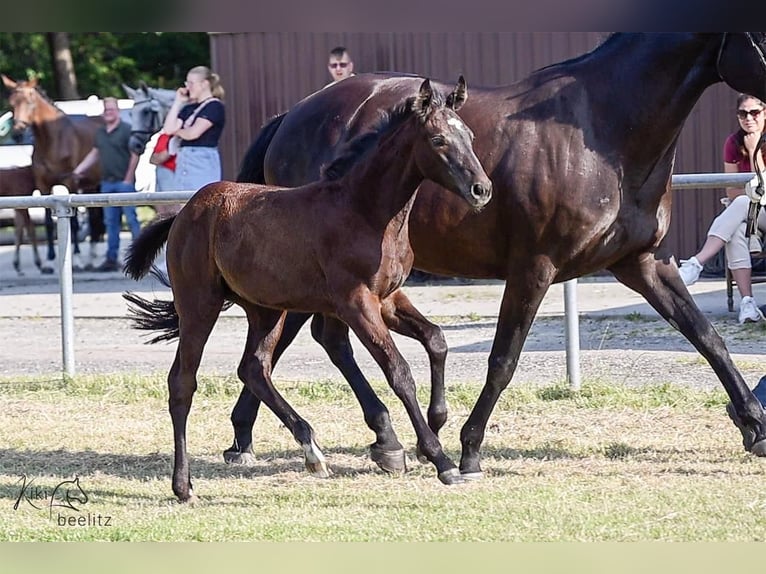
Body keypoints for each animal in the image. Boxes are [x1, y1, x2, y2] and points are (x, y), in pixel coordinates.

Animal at [1, 75, 103, 271]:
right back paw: (92, 257)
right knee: (95, 218)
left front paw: (76, 259)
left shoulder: (69, 183)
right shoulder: (43, 186)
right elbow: (48, 223)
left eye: (30, 102)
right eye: (12, 102)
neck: (52, 140)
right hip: (91, 186)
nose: (18, 133)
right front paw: (49, 260)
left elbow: (75, 223)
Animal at [123, 78, 492, 501]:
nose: (482, 190)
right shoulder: (357, 303)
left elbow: (436, 339)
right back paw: (183, 485)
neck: (364, 211)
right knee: (183, 382)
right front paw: (441, 460)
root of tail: (185, 211)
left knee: (254, 367)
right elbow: (398, 372)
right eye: (438, 139)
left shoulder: (387, 299)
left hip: (266, 310)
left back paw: (311, 450)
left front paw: (435, 423)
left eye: (470, 136)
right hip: (200, 305)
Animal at [230, 33, 766, 480]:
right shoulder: (534, 268)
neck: (602, 130)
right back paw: (370, 438)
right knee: (319, 341)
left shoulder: (642, 263)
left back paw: (255, 437)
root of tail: (292, 115)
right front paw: (468, 450)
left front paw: (754, 425)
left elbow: (707, 337)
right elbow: (503, 359)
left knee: (298, 344)